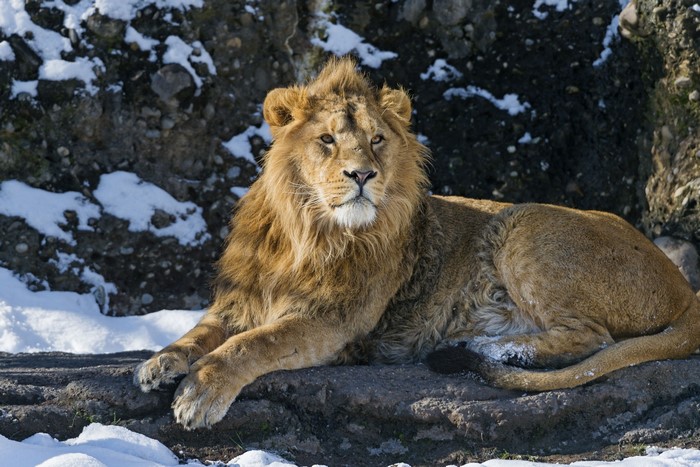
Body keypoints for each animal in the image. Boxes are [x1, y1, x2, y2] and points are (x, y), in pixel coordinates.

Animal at [134, 57, 700, 430]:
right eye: (327, 140)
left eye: (377, 140)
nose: (362, 174)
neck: (307, 232)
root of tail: (683, 286)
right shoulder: (238, 302)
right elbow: (201, 333)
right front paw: (159, 363)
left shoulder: (336, 321)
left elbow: (255, 343)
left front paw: (200, 392)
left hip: (524, 224)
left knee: (591, 338)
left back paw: (481, 347)